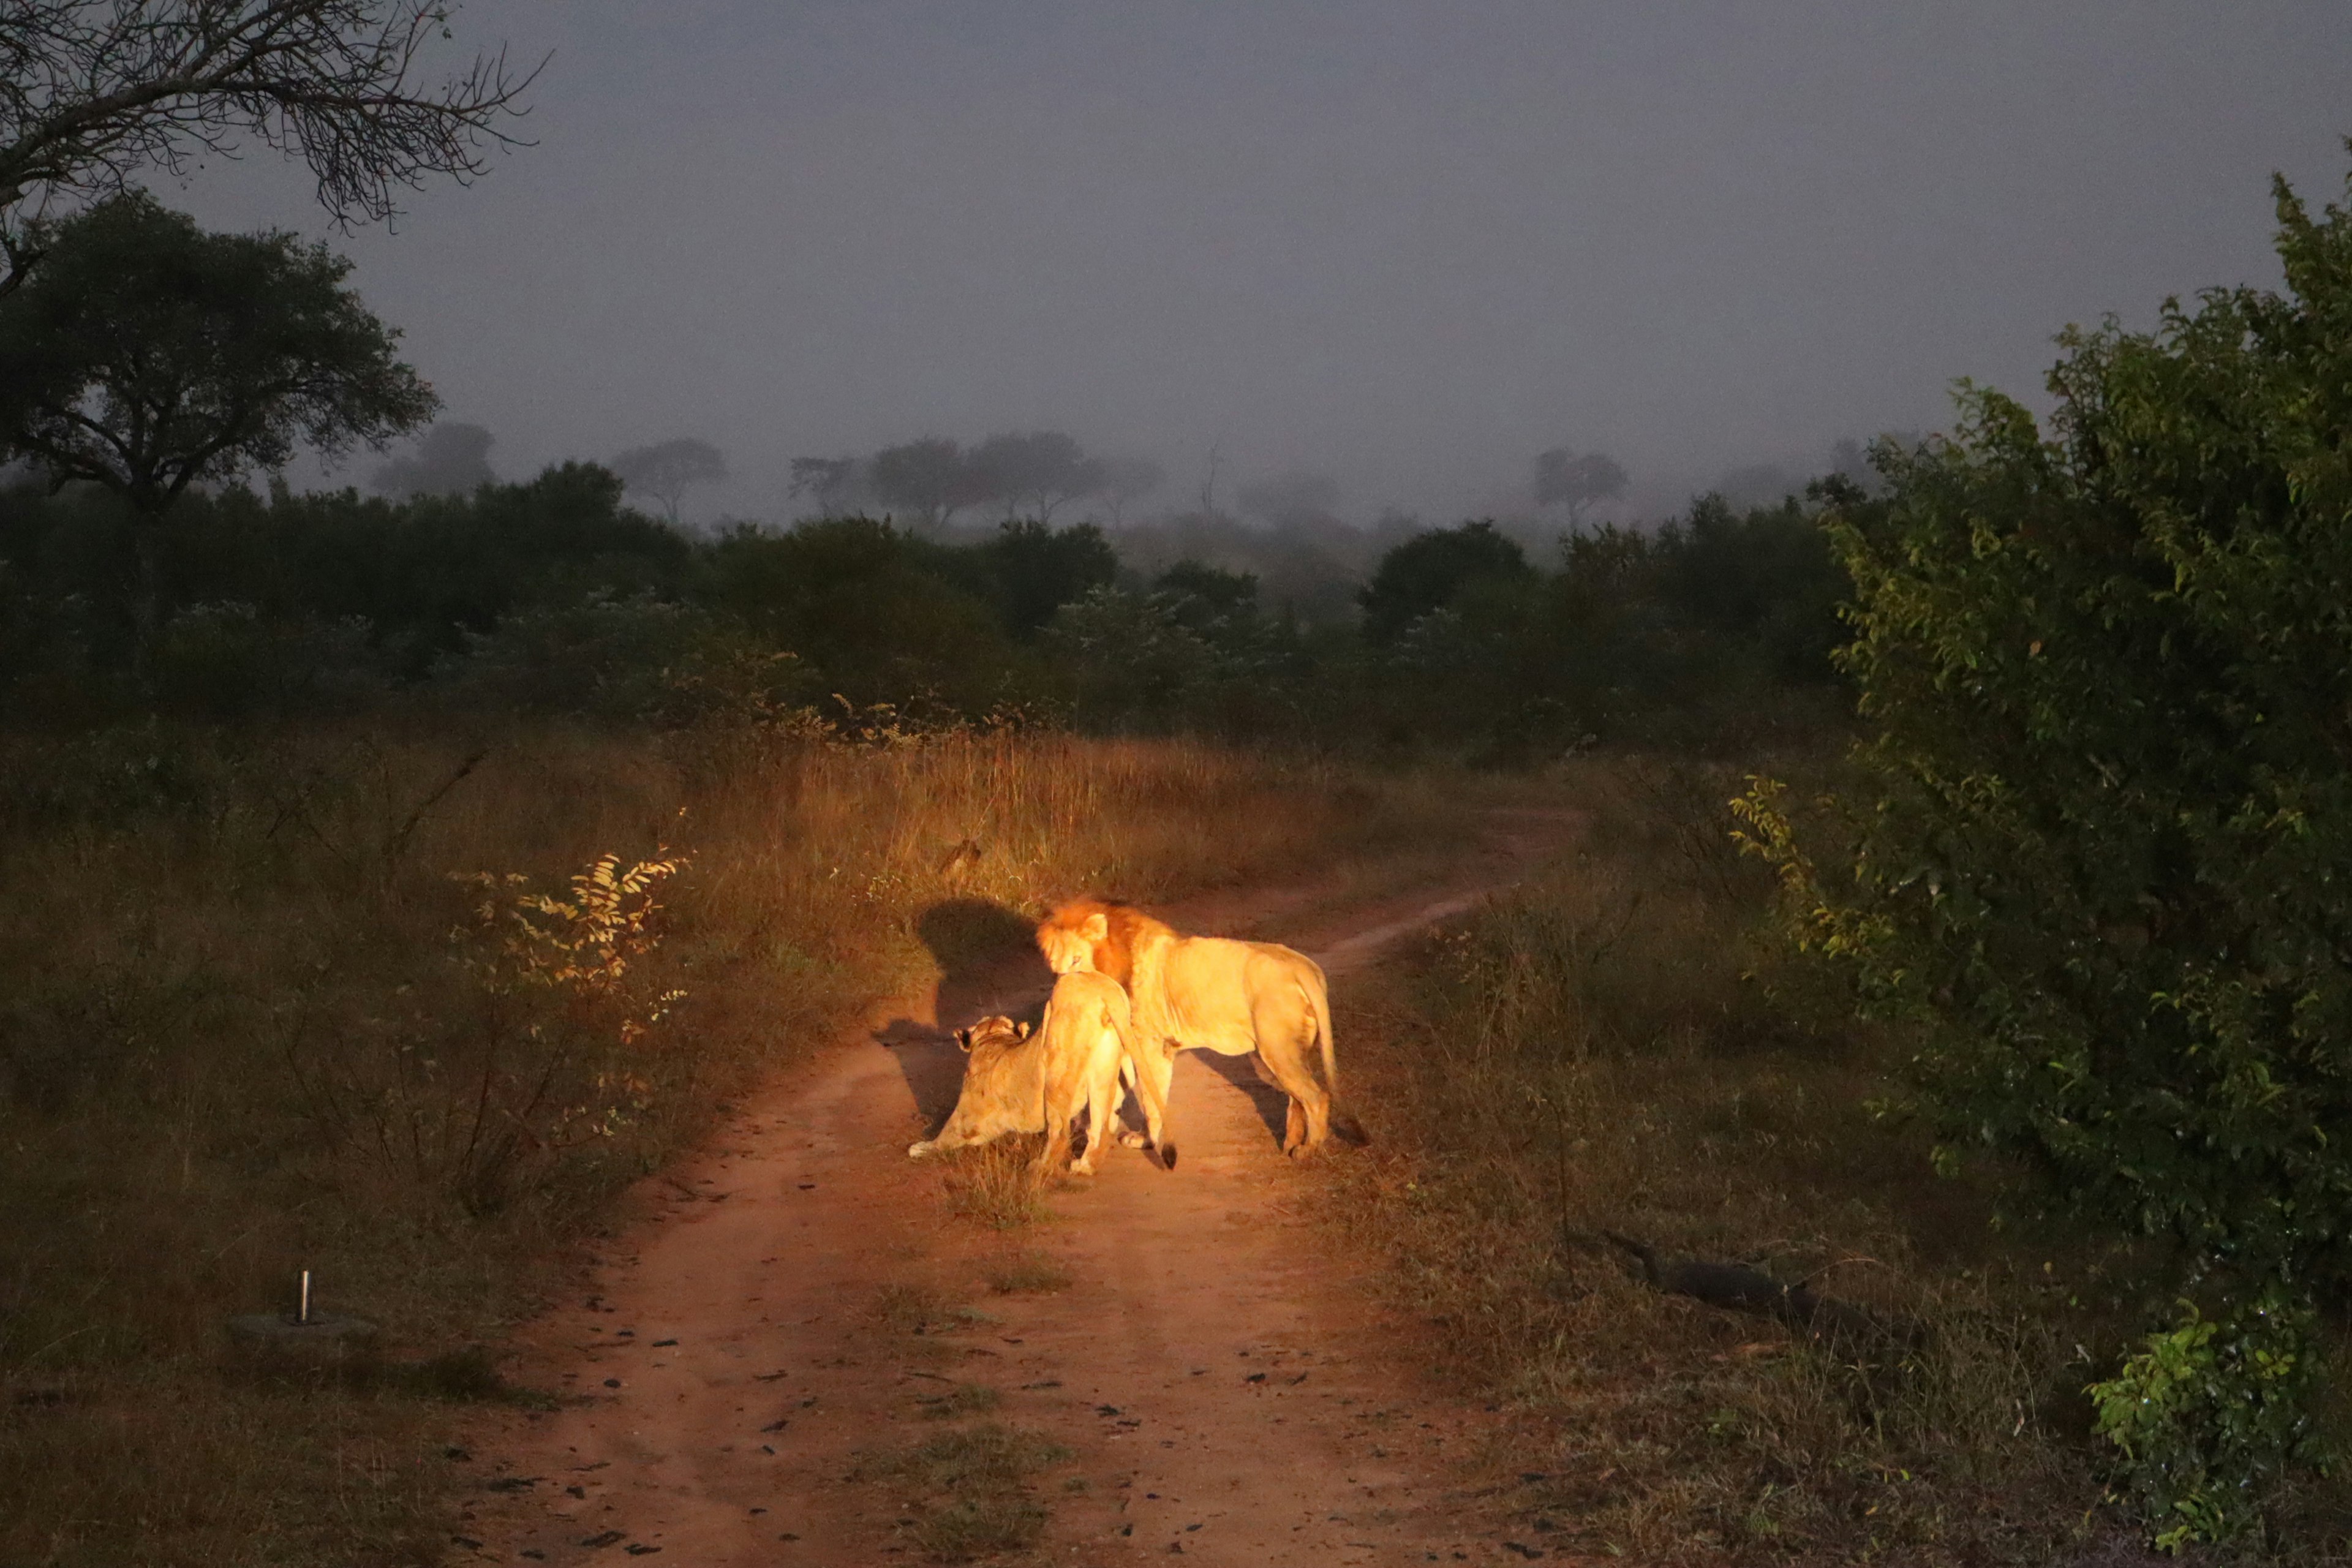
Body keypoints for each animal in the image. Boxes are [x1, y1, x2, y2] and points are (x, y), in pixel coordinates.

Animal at [903, 968, 1161, 1175]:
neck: (993, 1038)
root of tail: (1106, 990)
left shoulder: (965, 1116)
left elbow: (944, 1136)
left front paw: (919, 1148)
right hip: (1106, 1067)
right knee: (1102, 1127)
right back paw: (1084, 1167)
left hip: (1056, 1064)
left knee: (1060, 1133)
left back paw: (1039, 1168)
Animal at [1039, 893, 1373, 1166]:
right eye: (1054, 965)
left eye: (1077, 960)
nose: (1062, 988)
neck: (1116, 959)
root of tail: (1302, 966)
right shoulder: (1144, 1045)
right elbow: (1135, 1092)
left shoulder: (1151, 1044)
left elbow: (1150, 1098)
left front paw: (1148, 1142)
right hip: (1288, 1049)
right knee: (1298, 1098)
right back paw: (1291, 1142)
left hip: (1277, 1048)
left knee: (1317, 1097)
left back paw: (1308, 1151)